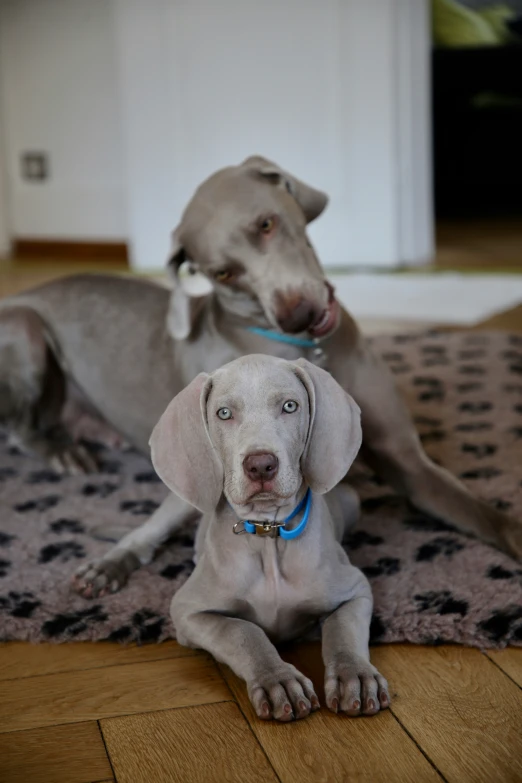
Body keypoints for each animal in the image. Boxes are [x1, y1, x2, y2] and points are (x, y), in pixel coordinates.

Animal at [0, 156, 516, 600]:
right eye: (224, 273)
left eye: (267, 224)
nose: (298, 313)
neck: (310, 347)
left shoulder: (410, 463)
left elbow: (490, 517)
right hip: (26, 329)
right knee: (26, 434)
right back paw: (73, 475)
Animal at [148, 356, 388, 724]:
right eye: (224, 413)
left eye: (290, 406)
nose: (261, 465)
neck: (268, 534)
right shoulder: (188, 611)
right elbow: (242, 632)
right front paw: (279, 681)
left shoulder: (356, 590)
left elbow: (342, 629)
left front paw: (355, 676)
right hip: (181, 503)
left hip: (351, 502)